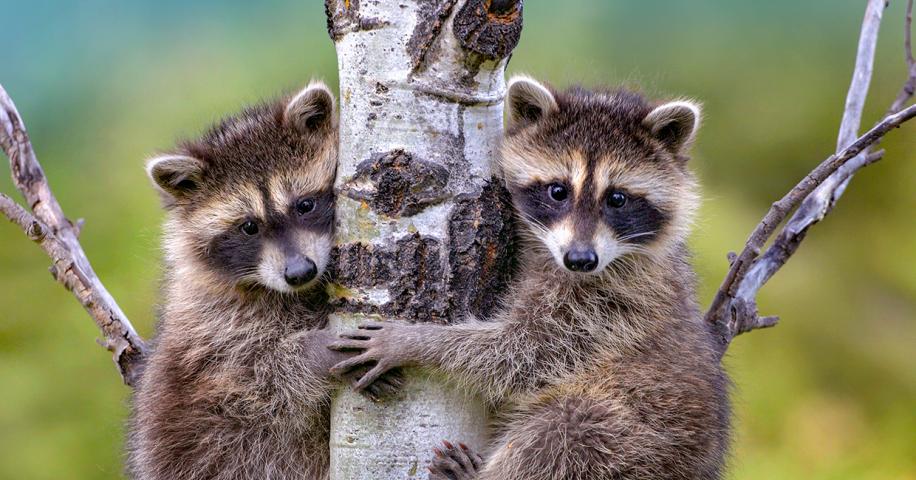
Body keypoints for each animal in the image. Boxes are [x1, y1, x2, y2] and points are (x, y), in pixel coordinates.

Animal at [126, 82, 395, 480]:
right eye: (249, 227)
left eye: (305, 205)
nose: (299, 273)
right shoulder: (214, 327)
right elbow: (254, 380)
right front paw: (317, 351)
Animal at [329, 76, 730, 479]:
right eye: (558, 191)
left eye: (617, 199)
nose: (580, 260)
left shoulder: (612, 304)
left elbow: (521, 352)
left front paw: (416, 342)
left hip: (643, 435)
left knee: (569, 429)